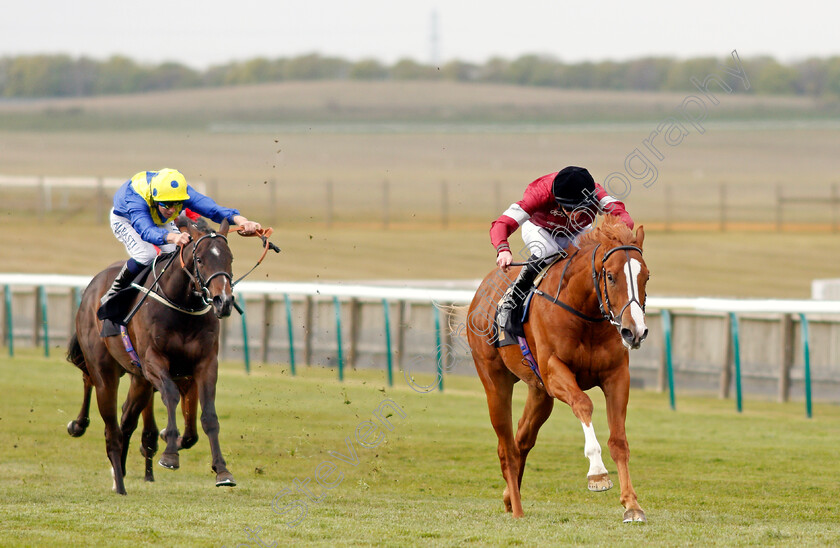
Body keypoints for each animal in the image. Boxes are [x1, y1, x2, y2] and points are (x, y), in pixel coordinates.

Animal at [64, 218, 236, 496]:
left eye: (230, 258)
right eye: (199, 259)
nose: (224, 301)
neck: (182, 306)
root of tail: (91, 289)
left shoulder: (205, 364)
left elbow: (208, 417)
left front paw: (222, 470)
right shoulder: (154, 361)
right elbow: (170, 396)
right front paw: (170, 454)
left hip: (140, 380)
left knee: (125, 421)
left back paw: (120, 471)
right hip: (105, 372)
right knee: (108, 421)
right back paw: (118, 480)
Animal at [466, 215, 648, 524]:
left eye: (645, 276)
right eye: (611, 276)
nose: (634, 332)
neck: (586, 315)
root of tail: (483, 290)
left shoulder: (616, 376)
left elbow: (619, 440)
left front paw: (632, 505)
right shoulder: (554, 372)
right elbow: (583, 403)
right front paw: (597, 474)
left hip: (539, 393)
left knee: (522, 439)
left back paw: (508, 496)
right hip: (495, 382)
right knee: (506, 447)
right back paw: (517, 509)